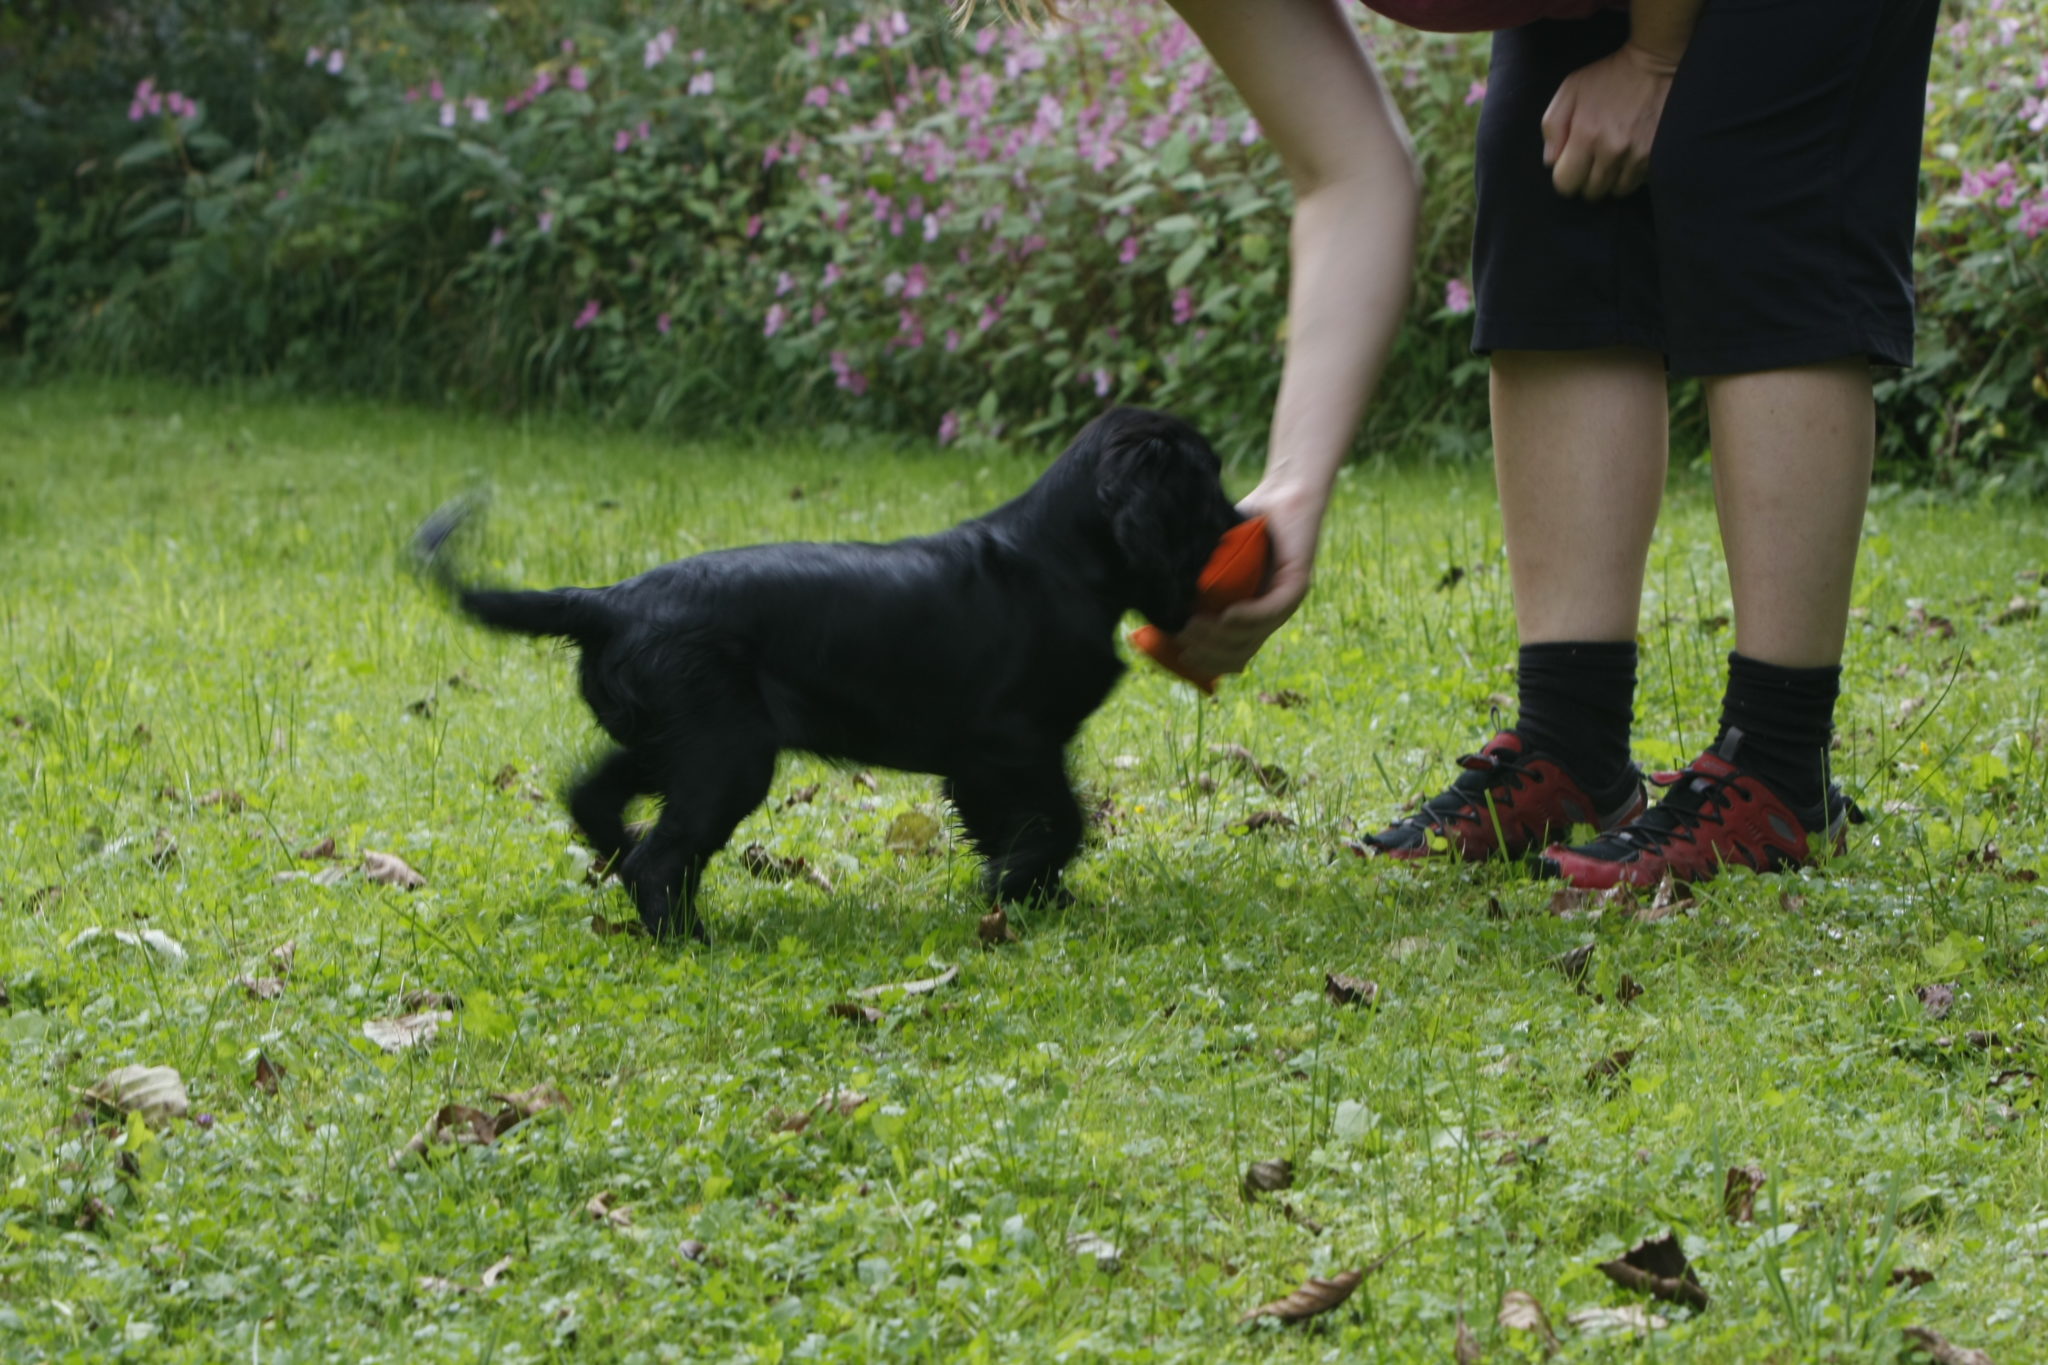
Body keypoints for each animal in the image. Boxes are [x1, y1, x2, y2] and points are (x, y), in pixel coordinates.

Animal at [415, 405, 1236, 941]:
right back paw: (688, 938)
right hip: (727, 754)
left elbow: (1018, 825)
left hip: (675, 738)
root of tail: (610, 600)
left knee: (592, 798)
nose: (1249, 528)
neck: (1058, 555)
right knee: (661, 855)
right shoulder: (1010, 743)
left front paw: (1031, 898)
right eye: (1206, 482)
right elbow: (1061, 821)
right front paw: (1014, 888)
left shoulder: (987, 760)